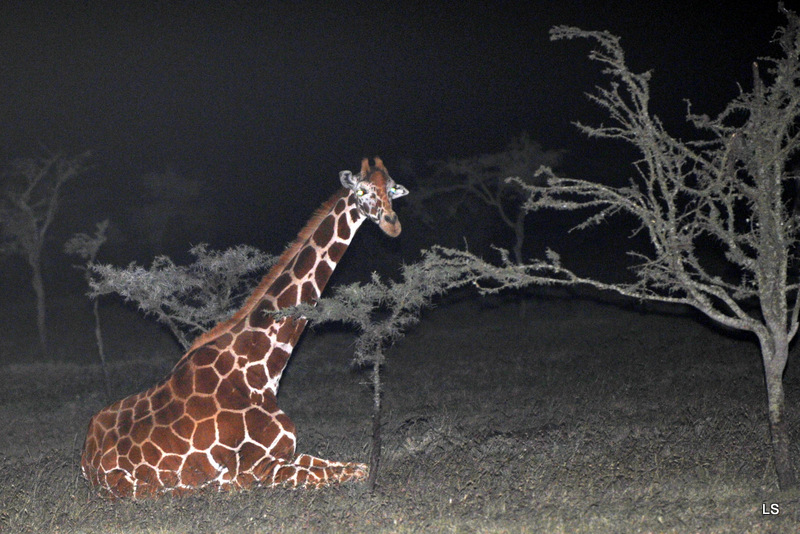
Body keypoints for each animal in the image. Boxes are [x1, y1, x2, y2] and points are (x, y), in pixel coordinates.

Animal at [80, 157, 406, 500]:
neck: (261, 371)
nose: (391, 224)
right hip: (140, 489)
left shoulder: (287, 453)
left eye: (392, 189)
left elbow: (359, 467)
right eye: (361, 190)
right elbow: (348, 474)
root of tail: (86, 457)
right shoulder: (257, 469)